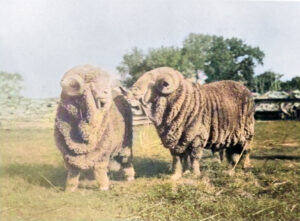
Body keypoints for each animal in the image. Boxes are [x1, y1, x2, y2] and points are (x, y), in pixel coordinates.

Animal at [55, 64, 135, 192]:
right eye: (91, 82)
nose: (107, 92)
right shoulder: (68, 153)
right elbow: (73, 171)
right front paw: (70, 188)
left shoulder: (102, 151)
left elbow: (99, 168)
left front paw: (103, 186)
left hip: (125, 141)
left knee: (126, 158)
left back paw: (130, 176)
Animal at [120, 67, 254, 180]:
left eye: (152, 82)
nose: (128, 93)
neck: (185, 100)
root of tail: (244, 88)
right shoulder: (177, 138)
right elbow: (178, 158)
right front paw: (177, 175)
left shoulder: (197, 137)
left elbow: (194, 157)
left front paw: (195, 174)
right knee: (233, 152)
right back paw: (231, 167)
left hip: (246, 131)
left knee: (245, 150)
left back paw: (243, 166)